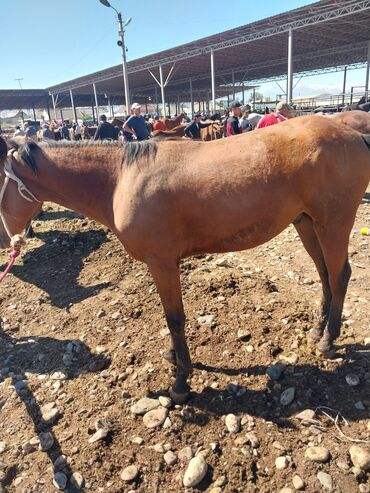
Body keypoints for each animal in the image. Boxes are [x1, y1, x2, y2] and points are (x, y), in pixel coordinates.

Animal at [0, 117, 370, 402]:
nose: (8, 240)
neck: (120, 178)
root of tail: (355, 135)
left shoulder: (162, 262)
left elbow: (174, 319)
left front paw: (181, 380)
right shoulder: (164, 264)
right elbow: (171, 319)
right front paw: (174, 357)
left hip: (333, 224)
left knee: (340, 275)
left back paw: (327, 341)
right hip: (306, 223)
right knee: (324, 275)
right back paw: (317, 331)